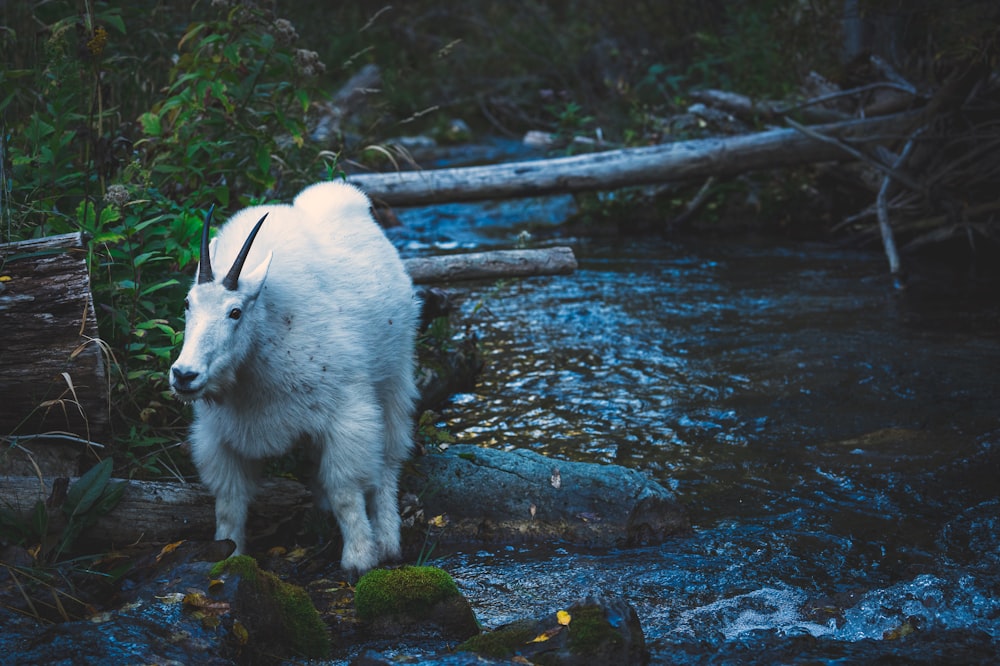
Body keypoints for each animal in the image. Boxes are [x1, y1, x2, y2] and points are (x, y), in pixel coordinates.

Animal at [170, 179, 416, 572]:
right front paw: (230, 558)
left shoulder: (347, 413)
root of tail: (350, 200)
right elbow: (229, 502)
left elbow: (346, 488)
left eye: (235, 312)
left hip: (395, 376)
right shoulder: (219, 434)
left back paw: (389, 541)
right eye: (187, 303)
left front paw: (359, 559)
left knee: (389, 461)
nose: (184, 375)